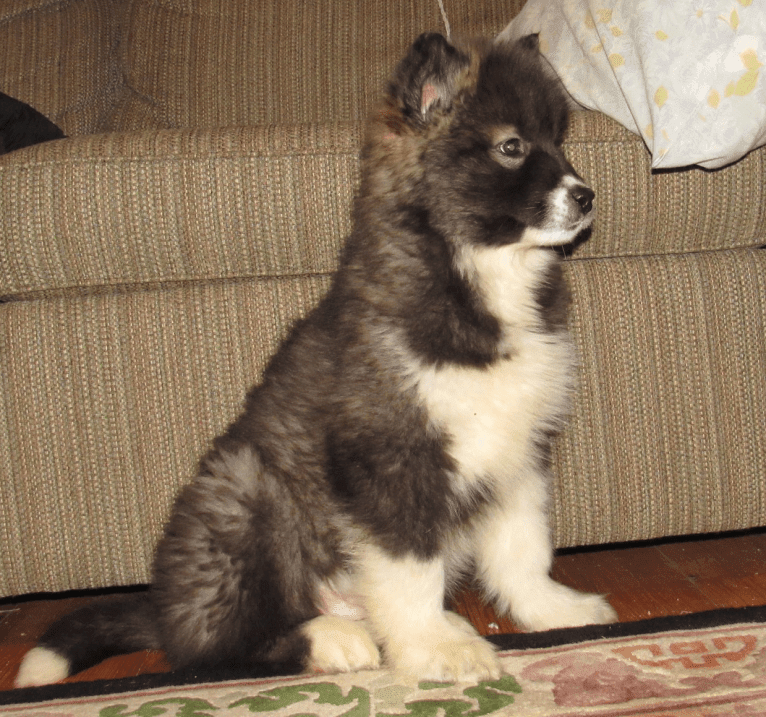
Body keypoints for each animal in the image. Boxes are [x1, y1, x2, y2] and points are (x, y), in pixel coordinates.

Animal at [16, 32, 616, 688]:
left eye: (558, 141)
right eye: (511, 146)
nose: (587, 196)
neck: (479, 277)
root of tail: (164, 614)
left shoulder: (519, 451)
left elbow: (522, 549)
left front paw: (551, 610)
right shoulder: (392, 456)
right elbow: (412, 566)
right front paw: (432, 650)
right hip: (246, 493)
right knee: (218, 646)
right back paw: (334, 638)